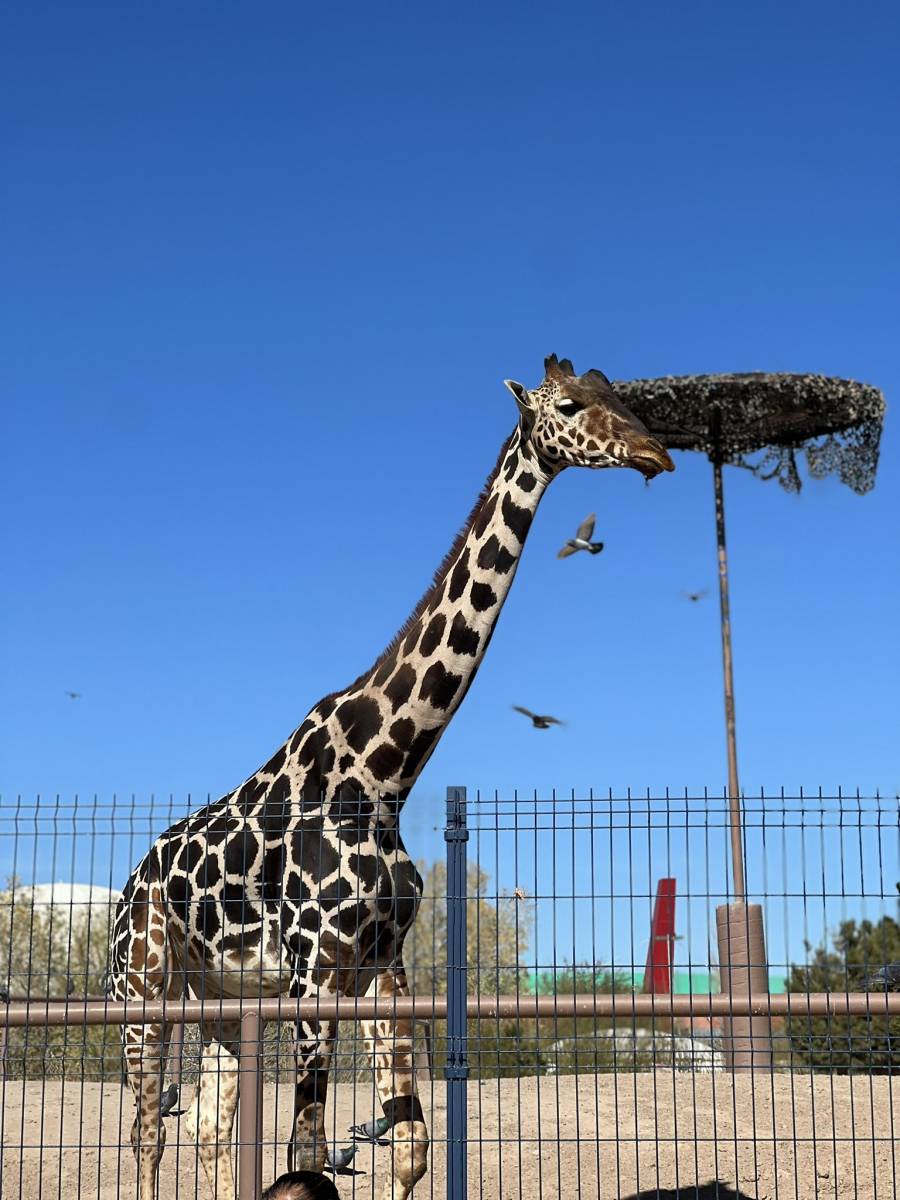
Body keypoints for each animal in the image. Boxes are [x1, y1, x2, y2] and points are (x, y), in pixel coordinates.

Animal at [107, 355, 676, 1200]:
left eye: (622, 395)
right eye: (571, 406)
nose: (655, 453)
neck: (383, 774)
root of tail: (132, 877)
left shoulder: (380, 971)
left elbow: (411, 1144)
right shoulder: (314, 976)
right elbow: (306, 1151)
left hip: (222, 1002)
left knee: (207, 1132)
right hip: (144, 985)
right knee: (146, 1134)